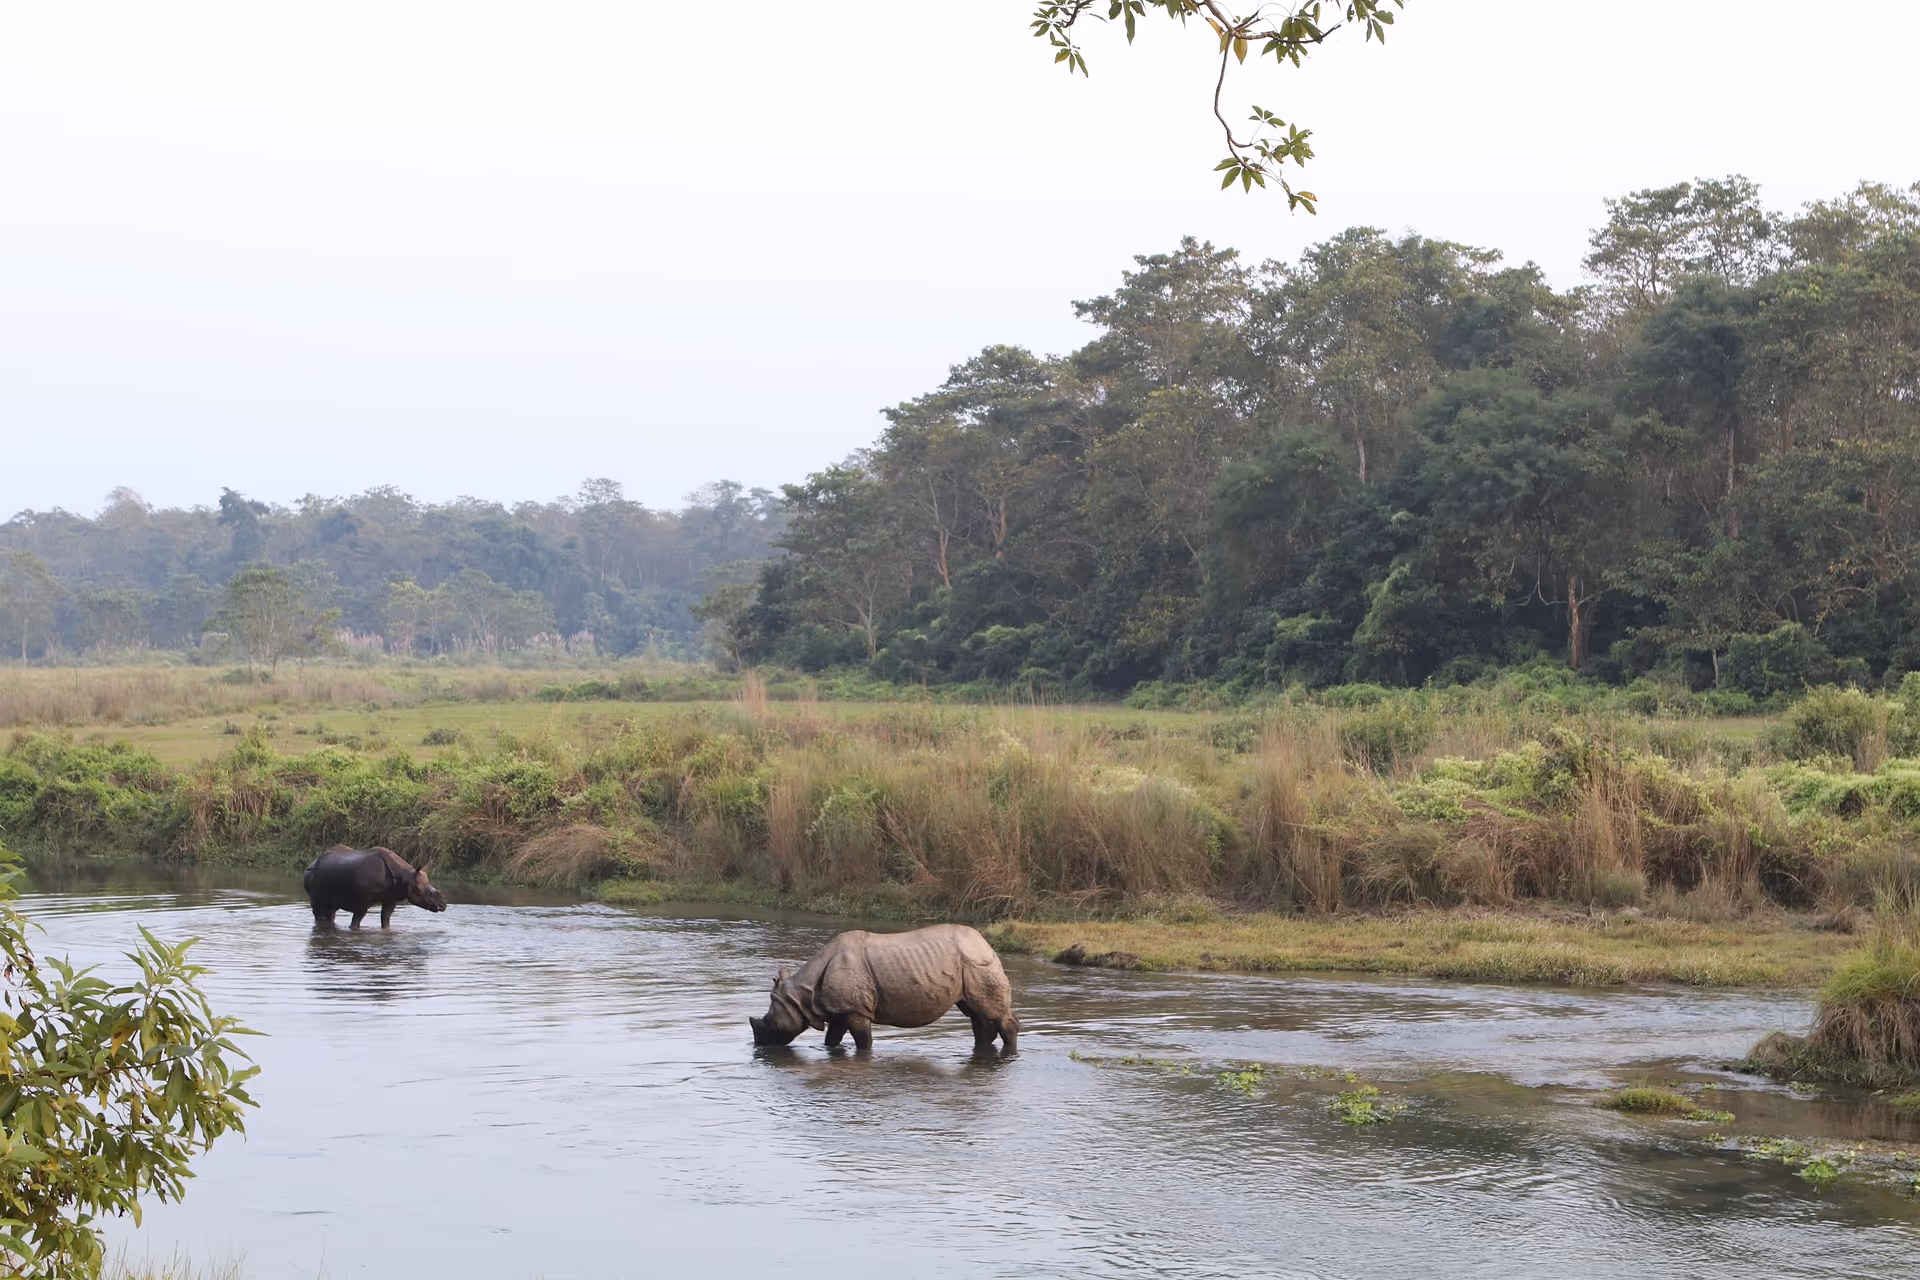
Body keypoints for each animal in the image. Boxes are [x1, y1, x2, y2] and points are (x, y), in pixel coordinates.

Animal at [303, 845, 447, 928]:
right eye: (424, 892)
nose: (442, 905)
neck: (405, 877)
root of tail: (311, 862)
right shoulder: (361, 904)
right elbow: (355, 923)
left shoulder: (391, 898)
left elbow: (386, 919)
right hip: (310, 874)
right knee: (317, 907)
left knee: (331, 909)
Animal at [748, 924, 1020, 1053]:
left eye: (769, 1022)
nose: (759, 1044)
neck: (802, 994)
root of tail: (985, 942)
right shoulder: (841, 1008)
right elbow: (831, 1038)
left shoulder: (856, 1010)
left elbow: (862, 1041)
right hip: (968, 964)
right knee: (976, 1013)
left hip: (977, 963)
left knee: (991, 1011)